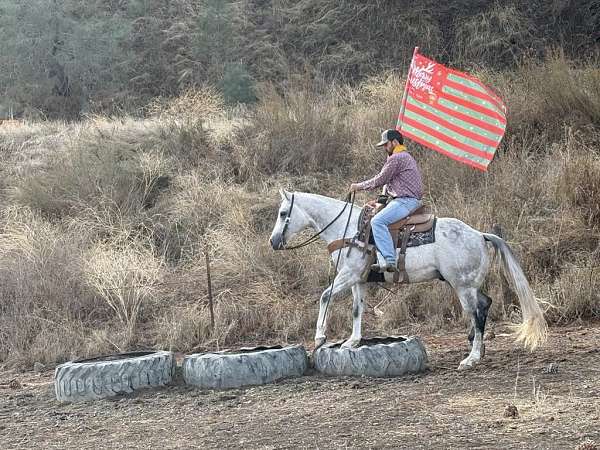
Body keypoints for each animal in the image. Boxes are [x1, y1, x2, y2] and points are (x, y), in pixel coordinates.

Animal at [272, 190, 548, 370]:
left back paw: (471, 358)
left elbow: (325, 296)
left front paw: (320, 337)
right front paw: (352, 341)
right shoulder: (358, 280)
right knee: (486, 304)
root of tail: (480, 234)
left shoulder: (348, 275)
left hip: (462, 286)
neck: (348, 229)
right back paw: (476, 348)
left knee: (476, 312)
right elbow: (357, 310)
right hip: (465, 284)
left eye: (283, 213)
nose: (273, 241)